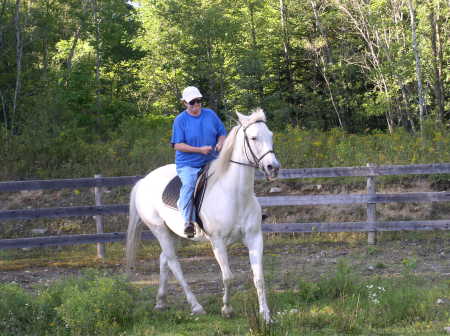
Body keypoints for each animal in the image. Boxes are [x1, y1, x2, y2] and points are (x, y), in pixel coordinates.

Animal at [125, 109, 280, 322]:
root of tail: (143, 181)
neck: (235, 195)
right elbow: (228, 277)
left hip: (174, 234)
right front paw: (227, 309)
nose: (273, 167)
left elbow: (259, 278)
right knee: (174, 263)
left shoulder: (255, 237)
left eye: (270, 135)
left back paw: (161, 302)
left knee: (164, 259)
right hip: (159, 230)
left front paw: (266, 316)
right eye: (253, 137)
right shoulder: (218, 242)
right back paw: (196, 306)